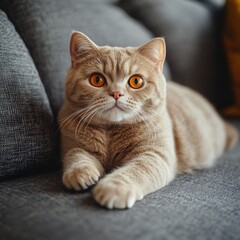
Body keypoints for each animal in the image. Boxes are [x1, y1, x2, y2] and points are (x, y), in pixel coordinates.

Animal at [57, 31, 238, 208]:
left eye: (136, 81)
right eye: (97, 80)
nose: (116, 93)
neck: (111, 131)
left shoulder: (154, 155)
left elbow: (136, 171)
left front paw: (114, 188)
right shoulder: (73, 145)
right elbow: (76, 156)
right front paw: (80, 173)